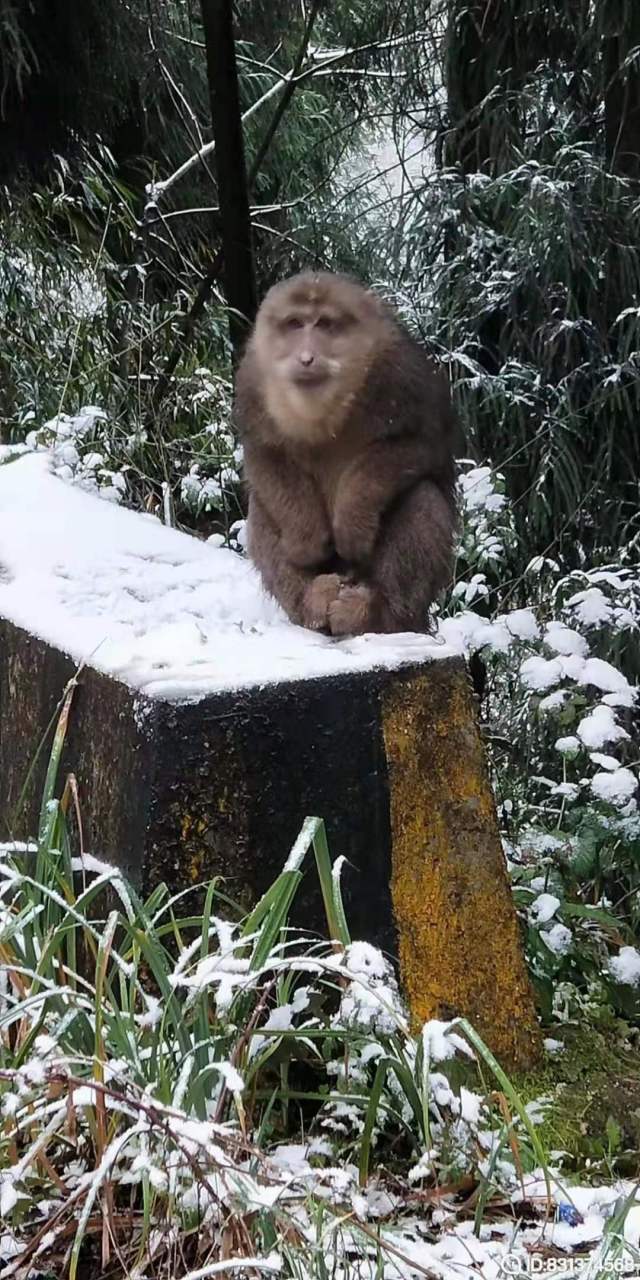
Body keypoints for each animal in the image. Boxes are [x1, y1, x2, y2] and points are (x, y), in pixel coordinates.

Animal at [232, 270, 458, 634]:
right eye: (295, 324)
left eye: (325, 324)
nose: (306, 358)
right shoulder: (252, 380)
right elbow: (265, 453)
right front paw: (306, 539)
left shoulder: (400, 372)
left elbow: (422, 444)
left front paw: (352, 522)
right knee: (262, 509)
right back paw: (311, 601)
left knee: (423, 496)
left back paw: (373, 611)